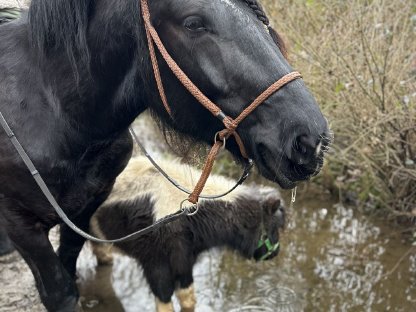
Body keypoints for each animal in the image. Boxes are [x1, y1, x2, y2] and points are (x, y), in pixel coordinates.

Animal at [0, 0, 328, 312]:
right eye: (193, 23)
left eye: (259, 16)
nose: (310, 140)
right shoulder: (24, 228)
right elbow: (62, 294)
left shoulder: (85, 211)